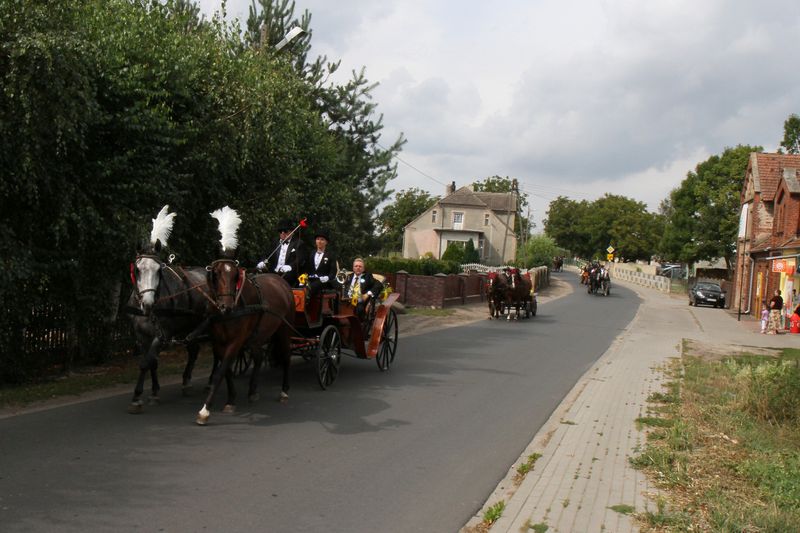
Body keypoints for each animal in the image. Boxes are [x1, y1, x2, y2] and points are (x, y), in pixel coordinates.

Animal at [197, 258, 296, 424]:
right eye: (216, 273)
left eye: (235, 275)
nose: (227, 306)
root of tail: (281, 281)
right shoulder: (218, 343)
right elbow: (227, 371)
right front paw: (231, 400)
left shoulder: (236, 341)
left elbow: (221, 371)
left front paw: (205, 410)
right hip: (258, 335)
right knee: (259, 358)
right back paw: (253, 391)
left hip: (284, 329)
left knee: (286, 357)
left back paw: (284, 391)